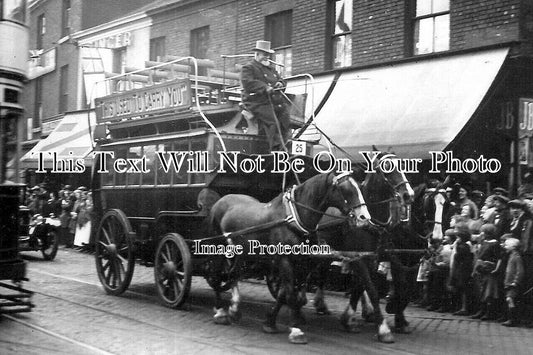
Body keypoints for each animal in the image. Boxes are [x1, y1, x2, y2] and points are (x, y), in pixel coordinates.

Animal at [208, 172, 370, 344]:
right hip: (217, 248)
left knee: (233, 274)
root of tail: (220, 201)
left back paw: (234, 309)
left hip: (241, 253)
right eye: (345, 189)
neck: (294, 218)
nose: (364, 218)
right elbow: (290, 293)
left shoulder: (301, 262)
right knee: (216, 276)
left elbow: (285, 293)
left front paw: (271, 323)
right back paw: (220, 311)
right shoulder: (284, 260)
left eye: (359, 186)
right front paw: (296, 330)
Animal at [310, 152, 414, 344]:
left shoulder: (376, 255)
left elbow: (365, 286)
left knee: (322, 271)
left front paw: (350, 318)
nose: (408, 194)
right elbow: (371, 289)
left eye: (403, 165)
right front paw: (383, 329)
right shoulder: (358, 257)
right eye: (387, 167)